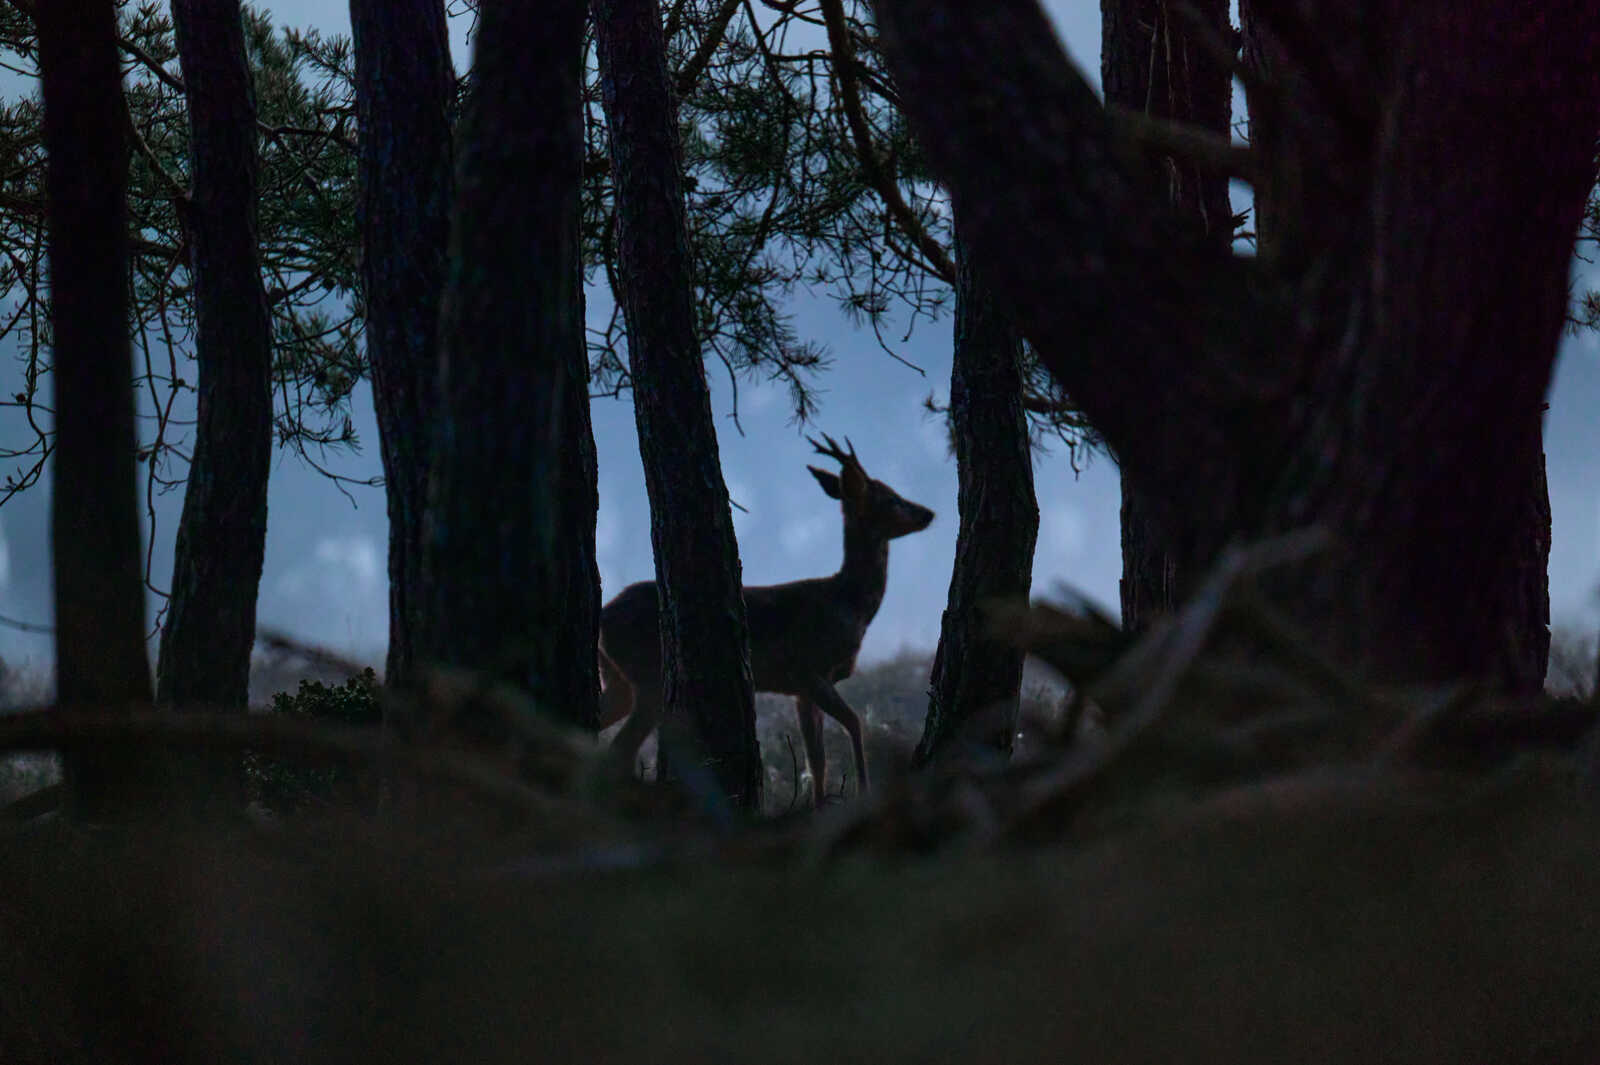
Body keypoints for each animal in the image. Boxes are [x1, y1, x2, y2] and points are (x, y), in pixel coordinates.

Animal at [597, 435, 934, 805]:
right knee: (618, 750)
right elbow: (854, 723)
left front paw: (818, 803)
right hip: (648, 678)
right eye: (891, 498)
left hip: (617, 680)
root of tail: (603, 616)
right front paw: (863, 790)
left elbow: (816, 760)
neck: (850, 604)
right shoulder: (808, 667)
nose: (928, 512)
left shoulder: (801, 689)